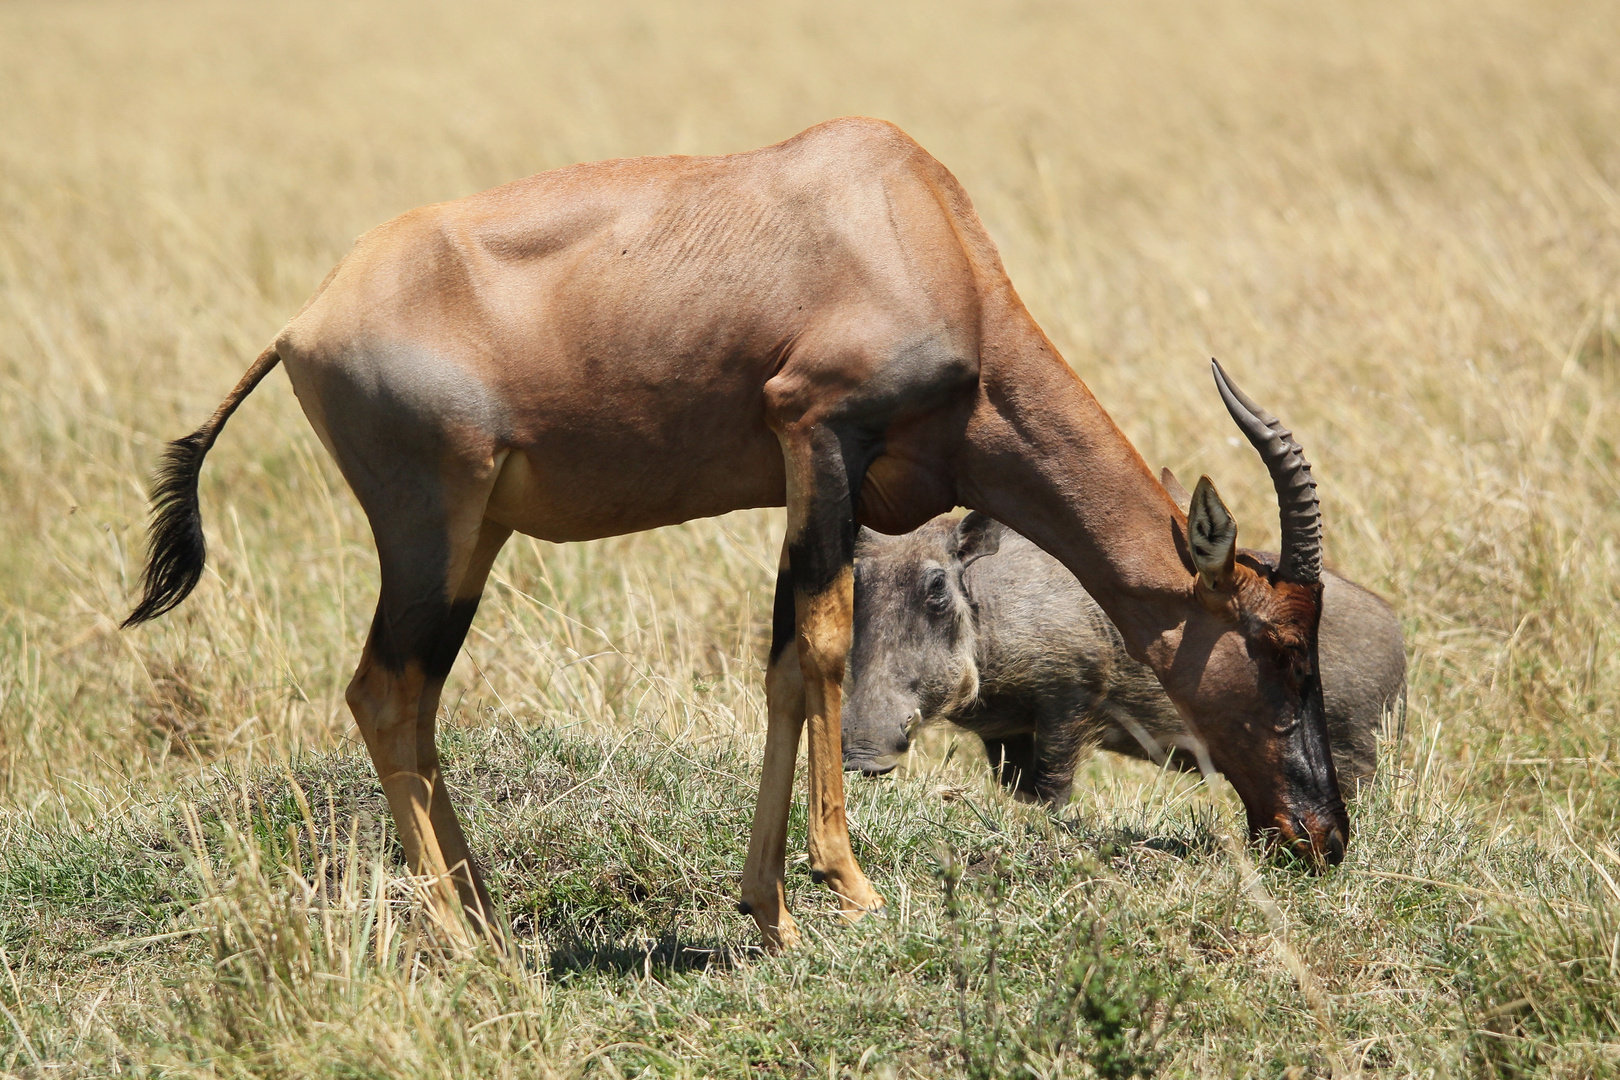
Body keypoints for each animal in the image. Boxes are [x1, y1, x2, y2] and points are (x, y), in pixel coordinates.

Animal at [119, 114, 1347, 952]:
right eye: (1279, 645)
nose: (1322, 835)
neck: (908, 224)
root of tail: (306, 318)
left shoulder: (806, 486)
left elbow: (780, 668)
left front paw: (771, 912)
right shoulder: (821, 434)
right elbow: (827, 650)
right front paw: (851, 887)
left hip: (473, 540)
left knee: (412, 705)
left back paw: (487, 915)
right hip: (432, 531)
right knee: (383, 691)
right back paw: (468, 940)